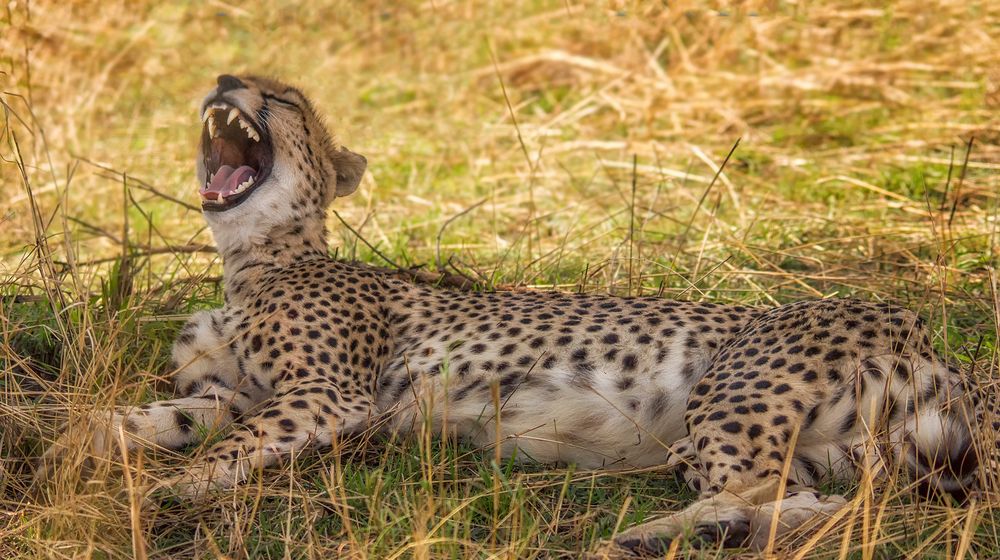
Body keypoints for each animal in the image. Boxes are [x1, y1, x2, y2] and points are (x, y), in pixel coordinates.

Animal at [37, 74, 992, 556]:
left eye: (286, 100)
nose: (230, 79)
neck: (251, 259)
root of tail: (935, 341)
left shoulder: (326, 397)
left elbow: (226, 448)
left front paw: (168, 491)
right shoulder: (234, 393)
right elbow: (152, 418)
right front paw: (71, 444)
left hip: (732, 396)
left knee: (771, 495)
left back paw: (639, 536)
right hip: (847, 449)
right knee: (814, 504)